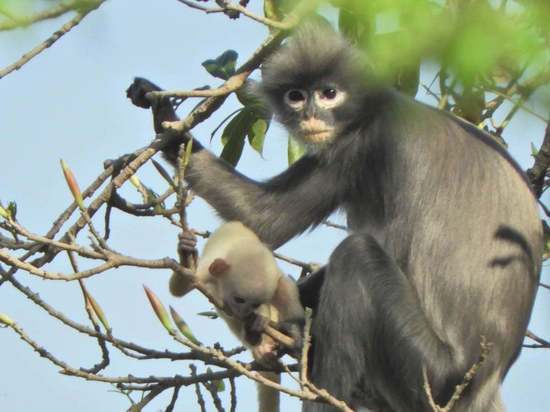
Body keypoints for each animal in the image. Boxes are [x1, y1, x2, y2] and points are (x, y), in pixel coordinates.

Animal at [127, 23, 544, 412]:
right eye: (296, 96)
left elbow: (272, 222)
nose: (311, 115)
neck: (377, 109)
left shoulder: (372, 144)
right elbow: (264, 217)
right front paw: (163, 117)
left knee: (357, 255)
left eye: (330, 93)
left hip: (430, 374)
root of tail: (483, 384)